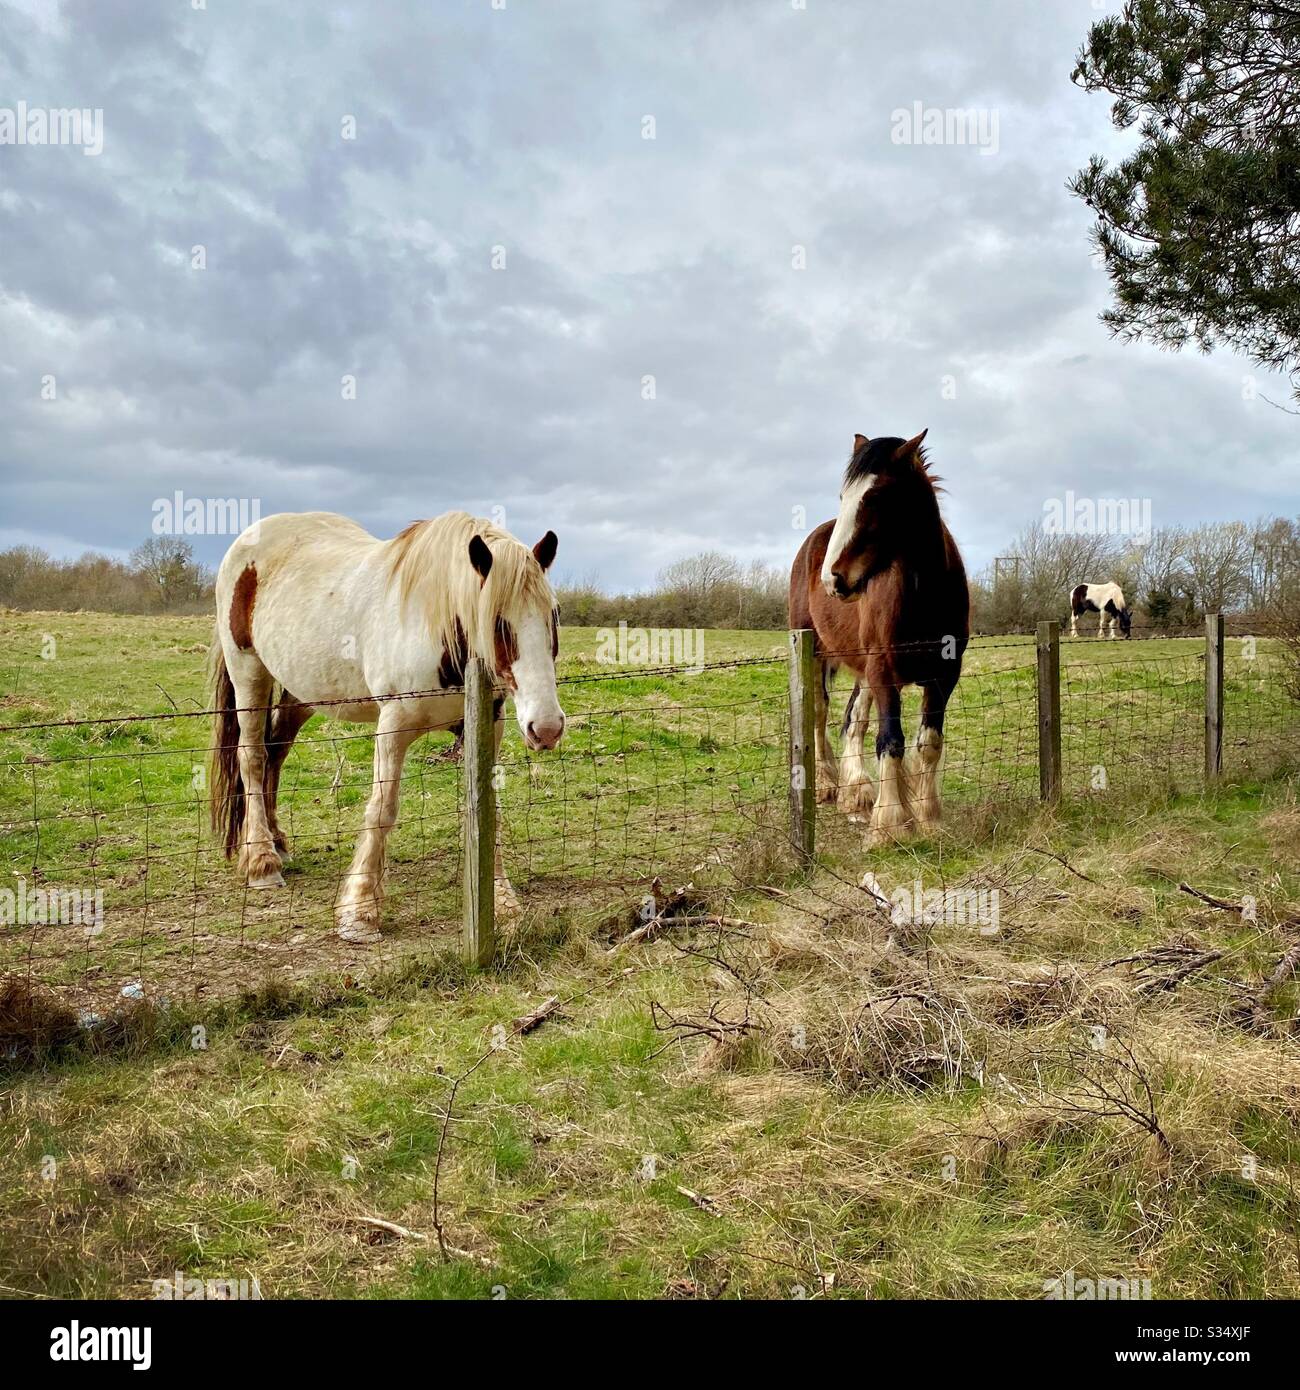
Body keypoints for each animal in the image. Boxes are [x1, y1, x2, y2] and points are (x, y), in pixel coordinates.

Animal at [208, 510, 565, 942]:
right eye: (498, 622)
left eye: (553, 616)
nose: (546, 728)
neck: (438, 625)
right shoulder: (393, 726)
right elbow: (381, 810)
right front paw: (360, 912)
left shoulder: (485, 725)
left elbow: (487, 809)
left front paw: (503, 904)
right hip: (249, 673)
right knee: (254, 759)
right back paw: (262, 860)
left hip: (301, 692)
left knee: (275, 754)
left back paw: (278, 844)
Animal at [788, 430, 969, 844]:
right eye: (844, 497)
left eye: (873, 497)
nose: (832, 578)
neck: (925, 595)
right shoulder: (884, 670)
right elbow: (891, 743)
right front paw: (891, 826)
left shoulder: (944, 676)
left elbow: (928, 744)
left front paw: (928, 818)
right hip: (817, 655)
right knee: (821, 715)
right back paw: (828, 784)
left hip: (864, 666)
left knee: (853, 717)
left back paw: (856, 790)